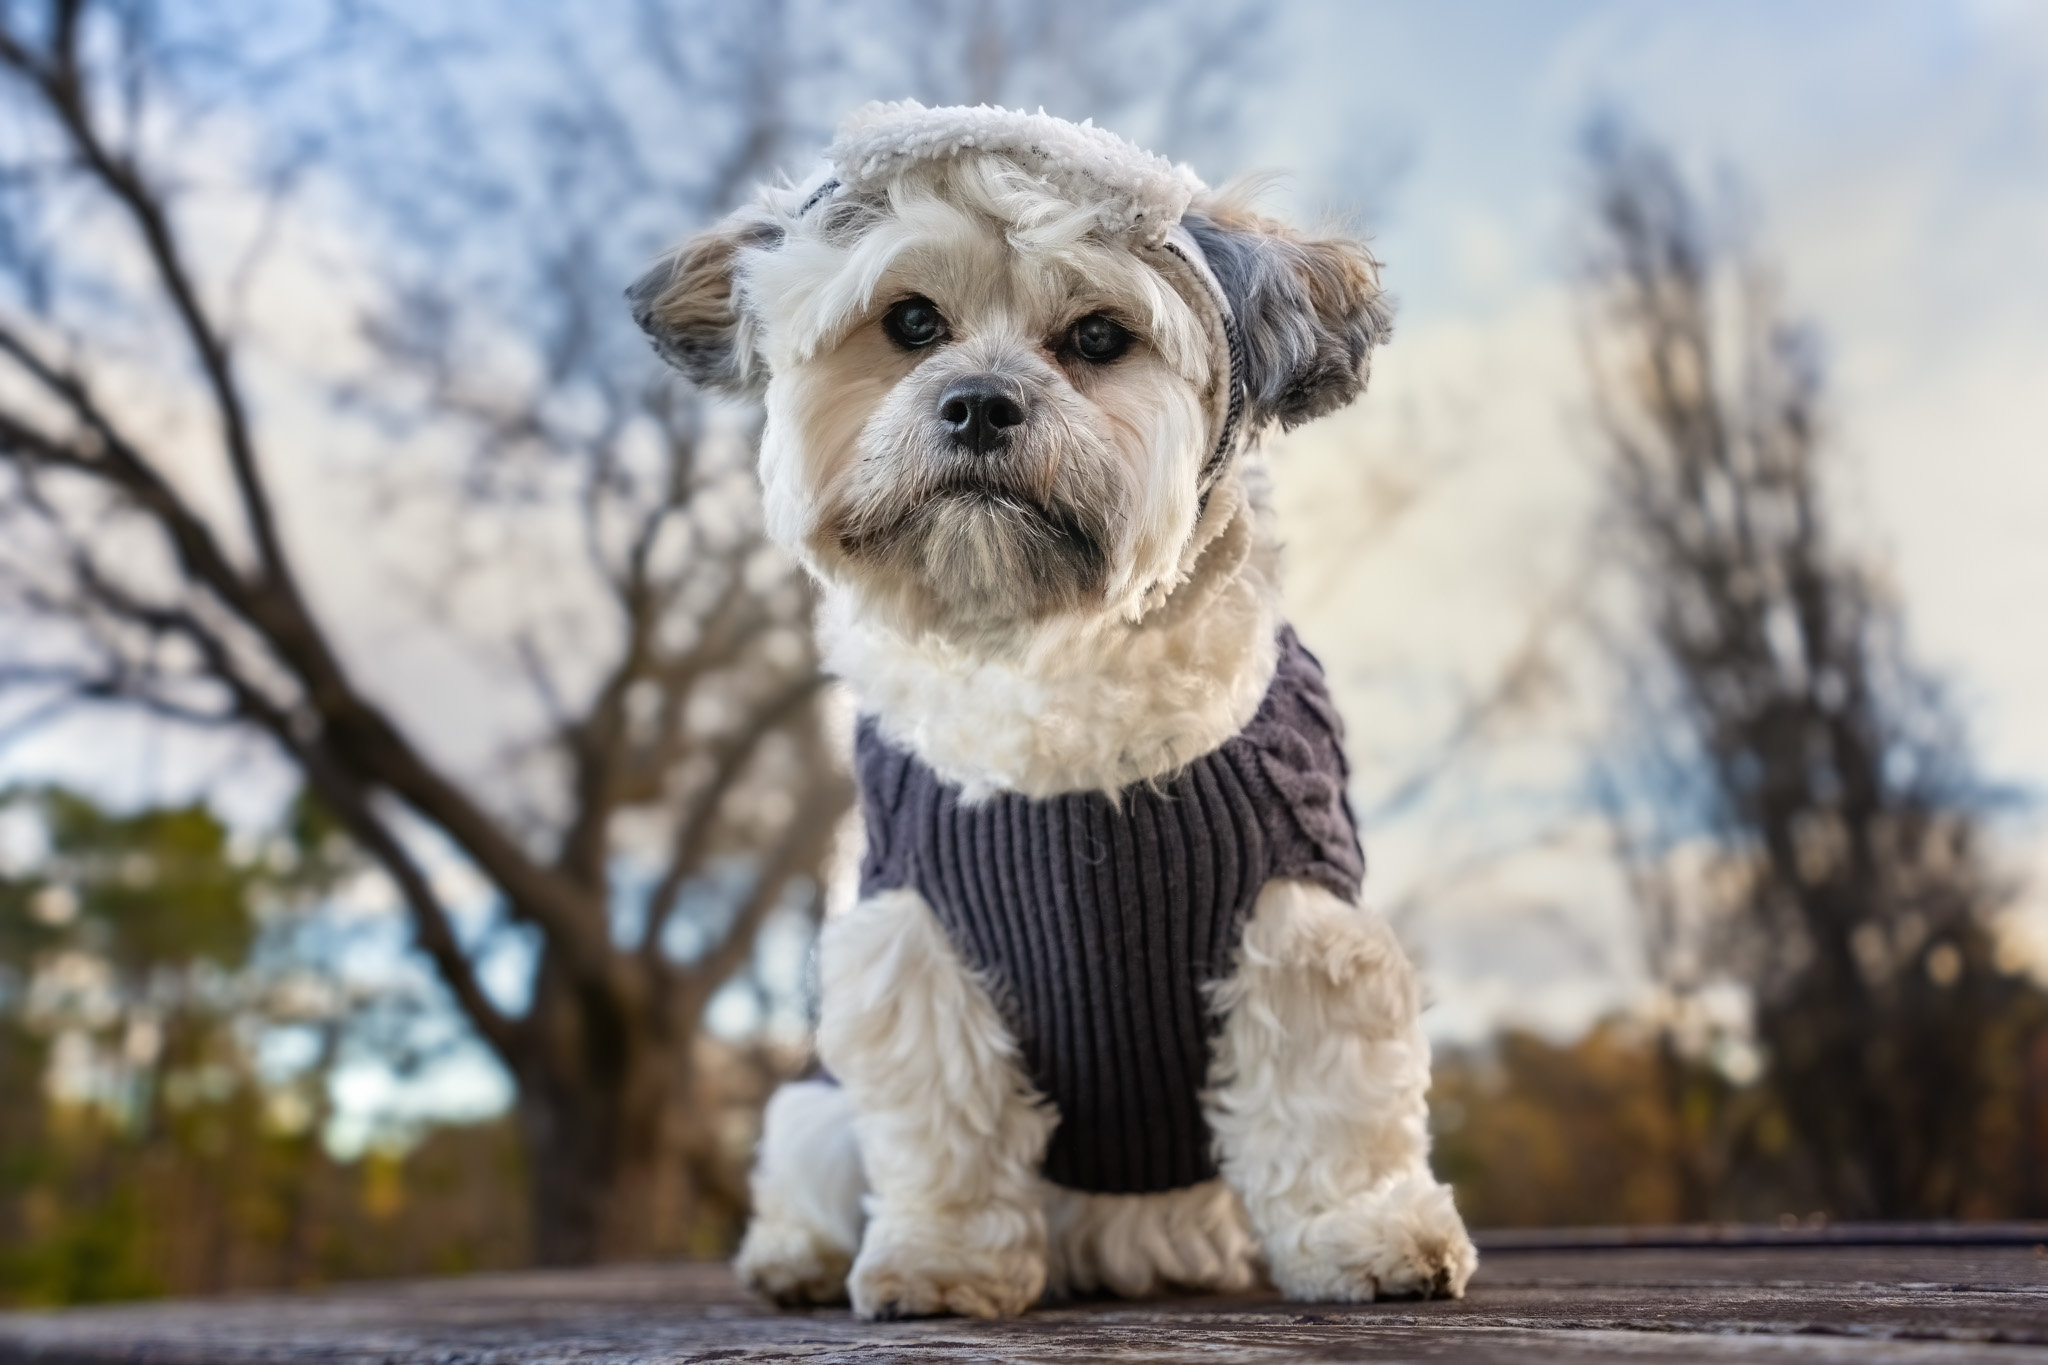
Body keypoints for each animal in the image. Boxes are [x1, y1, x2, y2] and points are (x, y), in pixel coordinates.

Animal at [630, 101, 1482, 1317]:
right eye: (911, 321)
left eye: (1097, 337)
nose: (980, 402)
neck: (1049, 665)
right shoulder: (918, 937)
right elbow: (941, 1122)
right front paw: (940, 1260)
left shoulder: (1296, 913)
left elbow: (1331, 1097)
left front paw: (1363, 1231)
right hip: (815, 1111)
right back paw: (798, 1257)